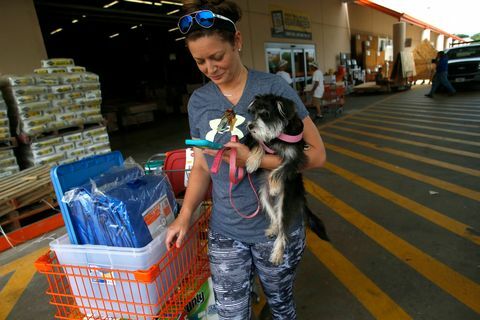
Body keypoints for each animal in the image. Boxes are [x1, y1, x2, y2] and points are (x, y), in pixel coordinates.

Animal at [246, 94, 328, 264]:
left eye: (265, 114)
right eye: (254, 113)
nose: (250, 126)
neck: (278, 136)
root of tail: (301, 196)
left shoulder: (297, 157)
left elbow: (280, 170)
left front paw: (275, 185)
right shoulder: (259, 141)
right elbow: (259, 144)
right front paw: (252, 162)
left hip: (286, 201)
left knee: (283, 226)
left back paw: (278, 252)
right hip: (263, 197)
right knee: (275, 216)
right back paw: (274, 228)